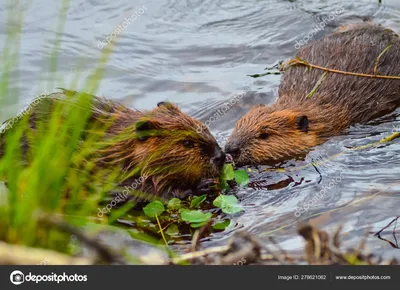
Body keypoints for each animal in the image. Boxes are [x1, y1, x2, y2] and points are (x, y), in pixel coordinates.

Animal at [0, 89, 225, 201]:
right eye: (187, 143)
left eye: (204, 126)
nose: (219, 156)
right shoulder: (106, 172)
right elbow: (145, 191)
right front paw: (202, 185)